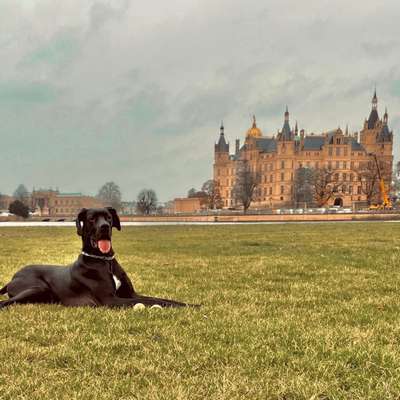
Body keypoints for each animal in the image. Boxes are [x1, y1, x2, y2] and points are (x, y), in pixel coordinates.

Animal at [0, 209, 194, 310]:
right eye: (92, 218)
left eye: (108, 217)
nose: (105, 227)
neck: (105, 261)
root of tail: (14, 276)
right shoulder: (111, 300)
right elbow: (152, 301)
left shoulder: (131, 294)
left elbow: (163, 299)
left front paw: (189, 304)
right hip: (36, 287)